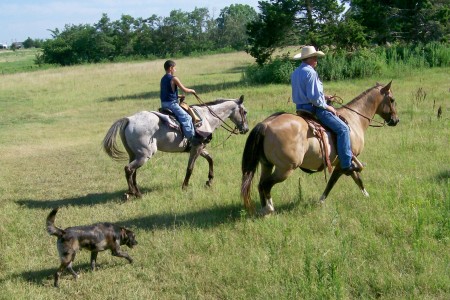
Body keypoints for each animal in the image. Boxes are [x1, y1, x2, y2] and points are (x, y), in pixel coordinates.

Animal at [103, 96, 250, 199]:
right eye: (245, 111)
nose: (246, 129)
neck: (206, 118)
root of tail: (129, 119)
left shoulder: (199, 147)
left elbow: (210, 159)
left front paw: (209, 181)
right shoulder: (196, 148)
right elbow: (190, 168)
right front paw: (185, 186)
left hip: (134, 155)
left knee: (133, 172)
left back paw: (135, 192)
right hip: (144, 155)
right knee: (129, 169)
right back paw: (133, 193)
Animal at [241, 81, 400, 214]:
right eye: (392, 99)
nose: (396, 120)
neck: (354, 120)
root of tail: (266, 125)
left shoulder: (343, 163)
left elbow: (351, 179)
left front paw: (365, 195)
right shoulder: (345, 162)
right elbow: (338, 180)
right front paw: (322, 200)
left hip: (266, 164)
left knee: (261, 184)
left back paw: (264, 209)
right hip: (285, 169)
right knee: (266, 184)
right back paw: (269, 208)